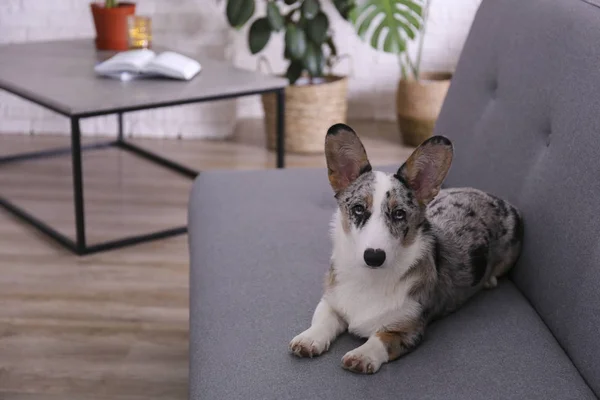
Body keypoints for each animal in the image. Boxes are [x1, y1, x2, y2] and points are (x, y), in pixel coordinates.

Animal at [288, 122, 524, 376]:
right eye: (359, 209)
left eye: (399, 214)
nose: (374, 257)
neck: (370, 278)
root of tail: (499, 199)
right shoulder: (331, 301)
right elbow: (323, 319)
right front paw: (308, 339)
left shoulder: (409, 329)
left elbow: (380, 338)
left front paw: (362, 355)